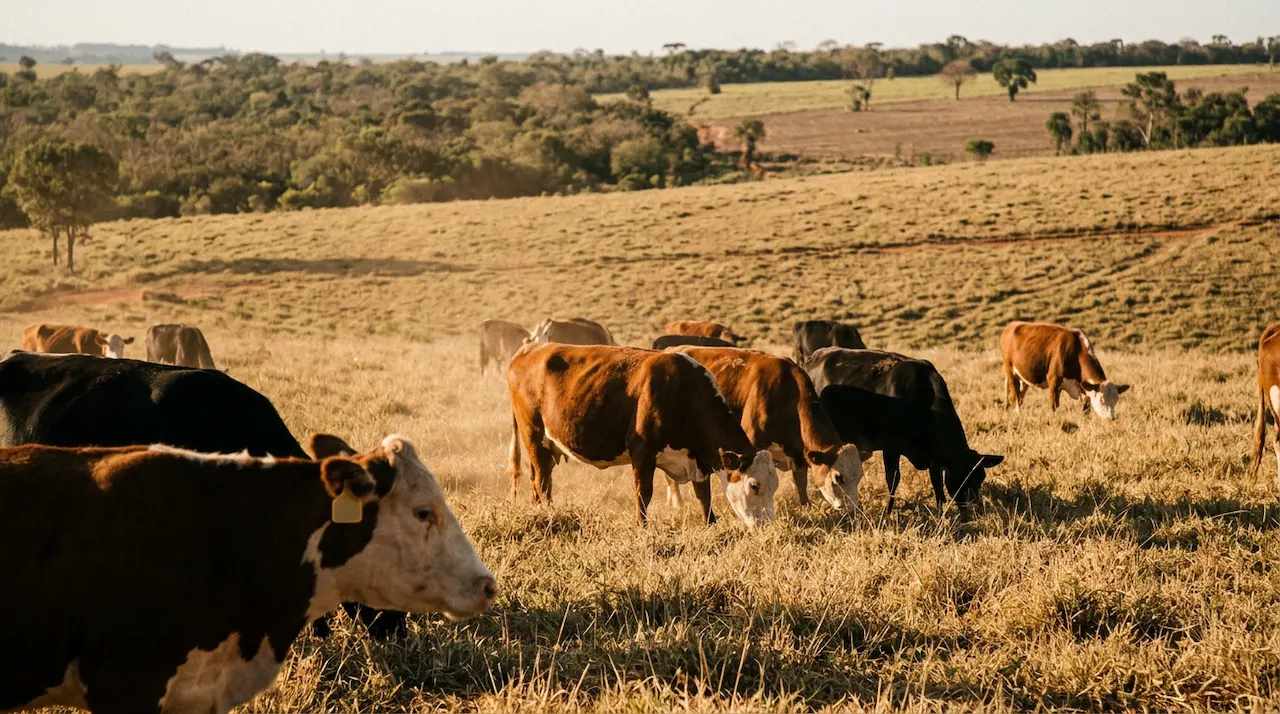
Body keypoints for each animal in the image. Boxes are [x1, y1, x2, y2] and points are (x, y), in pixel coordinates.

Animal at [506, 342, 779, 527]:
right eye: (754, 485)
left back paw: (540, 513)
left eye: (774, 486)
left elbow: (704, 495)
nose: (766, 525)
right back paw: (550, 514)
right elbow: (643, 493)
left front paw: (710, 523)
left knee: (538, 478)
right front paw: (642, 526)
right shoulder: (642, 452)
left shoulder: (699, 457)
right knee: (542, 480)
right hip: (533, 434)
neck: (683, 394)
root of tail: (531, 347)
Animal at [668, 346, 863, 512]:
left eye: (859, 476)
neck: (787, 396)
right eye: (839, 477)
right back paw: (677, 504)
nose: (853, 508)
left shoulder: (798, 453)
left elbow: (800, 481)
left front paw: (805, 505)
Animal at [807, 347, 1003, 513]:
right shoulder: (891, 448)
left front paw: (940, 513)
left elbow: (937, 485)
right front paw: (887, 512)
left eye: (980, 477)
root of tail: (813, 357)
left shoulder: (934, 458)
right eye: (961, 477)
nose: (975, 507)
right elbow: (893, 480)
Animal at [1000, 321, 1130, 420]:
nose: (1111, 418)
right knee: (1015, 393)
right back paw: (1018, 413)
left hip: (1024, 376)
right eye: (1102, 400)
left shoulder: (1083, 386)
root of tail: (1011, 325)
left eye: (1116, 400)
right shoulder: (1053, 379)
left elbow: (1086, 407)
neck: (1076, 350)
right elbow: (1053, 405)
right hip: (1009, 368)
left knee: (1017, 392)